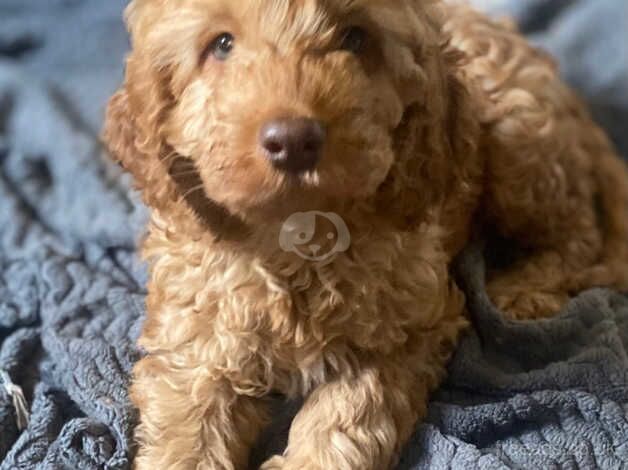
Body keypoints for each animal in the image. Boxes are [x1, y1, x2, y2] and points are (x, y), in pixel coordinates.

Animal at [103, 0, 628, 470]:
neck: (295, 237)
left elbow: (350, 413)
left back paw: (523, 290)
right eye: (222, 45)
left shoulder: (409, 329)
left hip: (519, 143)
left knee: (577, 233)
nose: (293, 140)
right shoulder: (195, 346)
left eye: (355, 38)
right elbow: (188, 427)